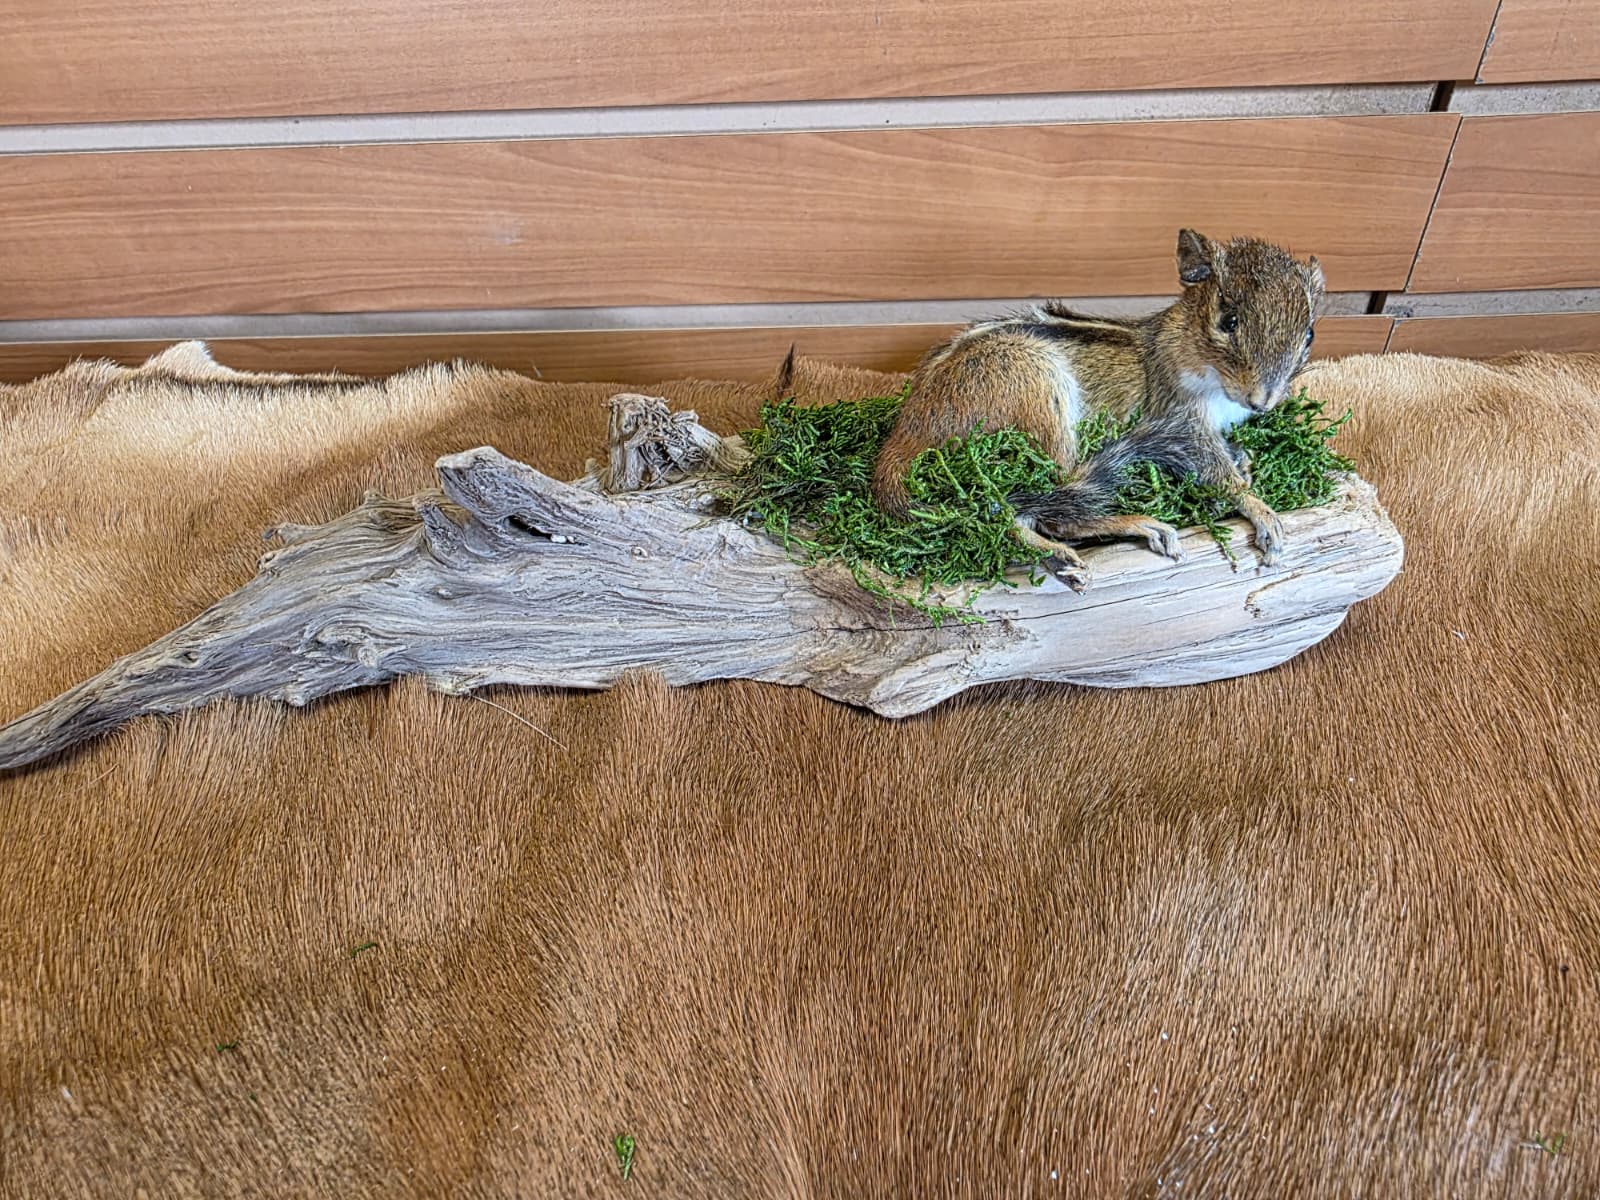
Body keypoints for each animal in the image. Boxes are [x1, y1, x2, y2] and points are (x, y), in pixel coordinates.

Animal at [870, 229, 1325, 586]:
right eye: (1228, 320)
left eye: (1309, 333)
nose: (1262, 402)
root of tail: (903, 438)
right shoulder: (1180, 423)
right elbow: (1218, 474)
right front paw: (1261, 511)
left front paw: (1246, 463)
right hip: (1041, 401)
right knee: (1040, 513)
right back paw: (1121, 530)